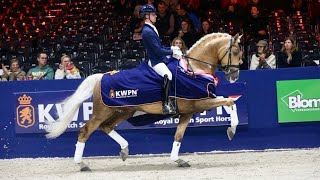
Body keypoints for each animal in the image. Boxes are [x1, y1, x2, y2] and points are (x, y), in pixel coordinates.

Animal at [45, 32, 242, 172]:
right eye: (234, 52)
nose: (235, 76)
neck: (194, 69)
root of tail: (102, 76)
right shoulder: (202, 102)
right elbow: (230, 103)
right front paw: (231, 131)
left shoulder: (187, 112)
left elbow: (178, 136)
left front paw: (178, 159)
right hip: (102, 112)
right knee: (85, 131)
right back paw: (82, 164)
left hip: (124, 111)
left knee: (106, 127)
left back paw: (124, 150)